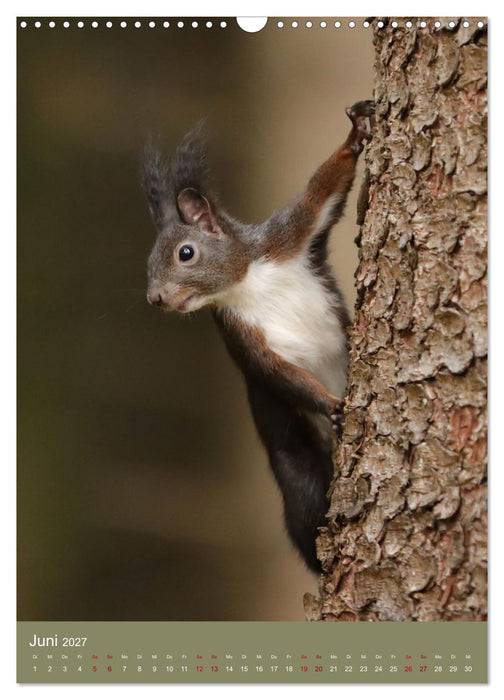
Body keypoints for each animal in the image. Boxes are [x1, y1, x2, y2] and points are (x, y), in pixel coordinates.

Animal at [141, 100, 374, 572]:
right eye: (150, 259)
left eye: (185, 253)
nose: (154, 298)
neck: (248, 280)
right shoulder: (240, 333)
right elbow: (275, 371)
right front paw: (331, 404)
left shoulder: (289, 238)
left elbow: (321, 192)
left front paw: (355, 131)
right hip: (296, 465)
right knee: (306, 509)